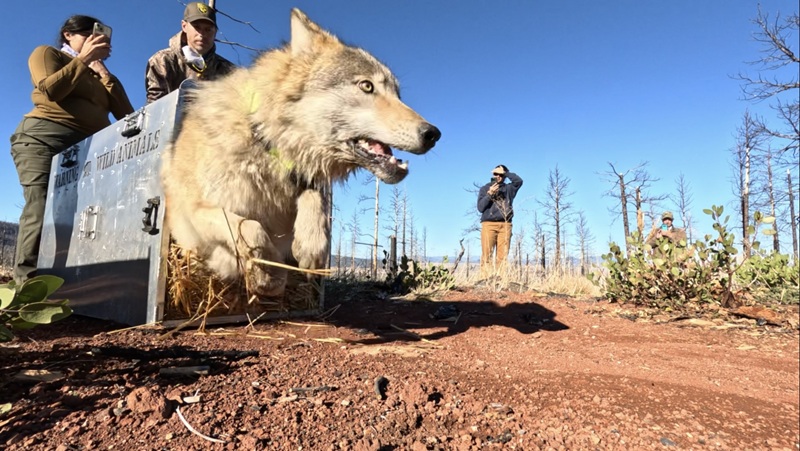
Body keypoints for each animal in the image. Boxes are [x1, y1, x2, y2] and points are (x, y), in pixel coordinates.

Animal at [161, 8, 441, 297]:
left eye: (397, 94)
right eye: (366, 86)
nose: (433, 134)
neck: (264, 142)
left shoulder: (307, 177)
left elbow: (314, 198)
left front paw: (310, 251)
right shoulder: (192, 215)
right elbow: (251, 227)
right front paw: (270, 276)